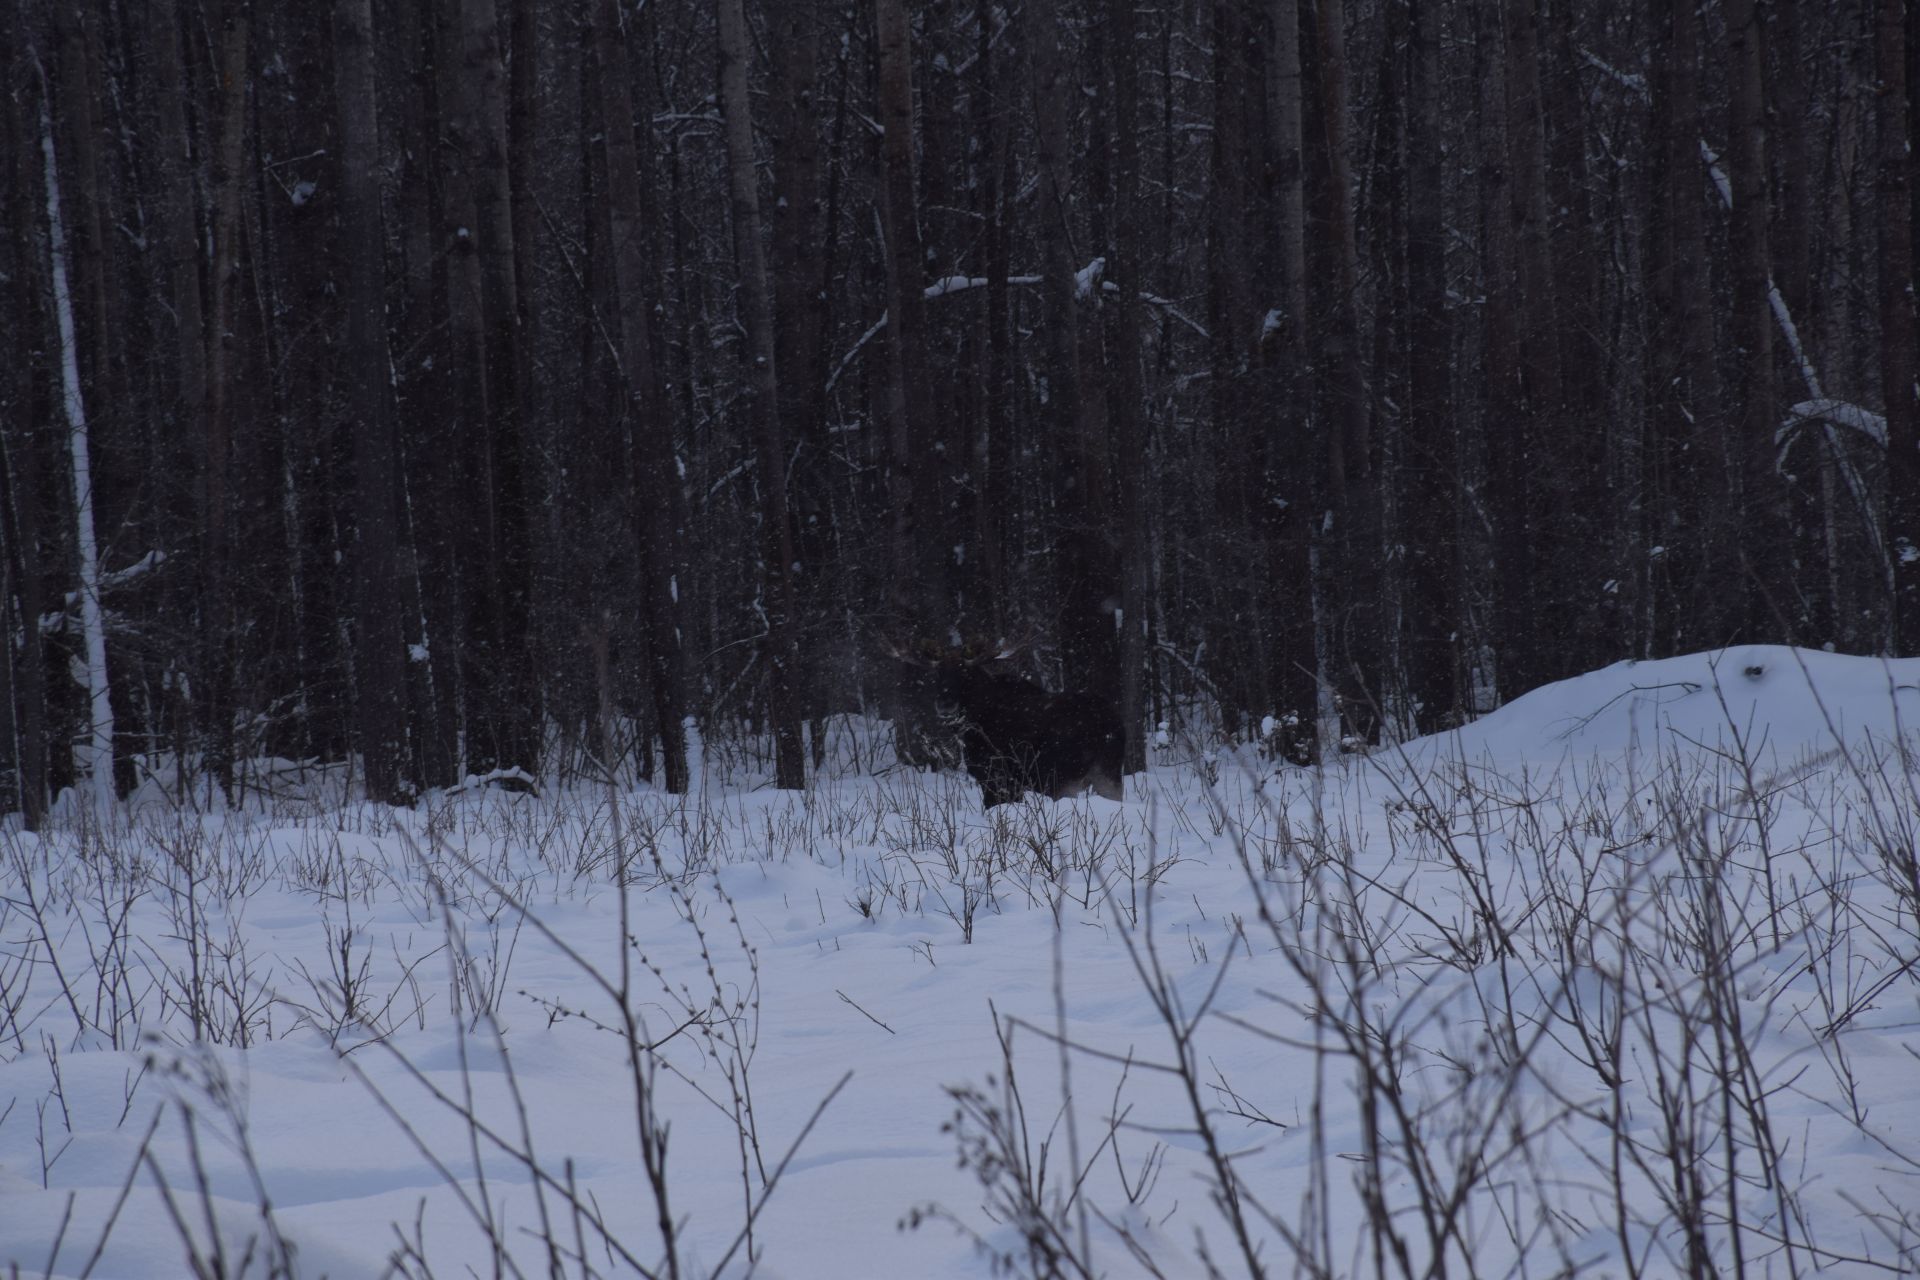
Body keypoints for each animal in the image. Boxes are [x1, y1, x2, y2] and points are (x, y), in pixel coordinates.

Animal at [894, 640, 1121, 809]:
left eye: (964, 672)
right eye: (937, 673)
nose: (945, 703)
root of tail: (1111, 721)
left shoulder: (997, 778)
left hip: (1072, 777)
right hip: (1102, 774)